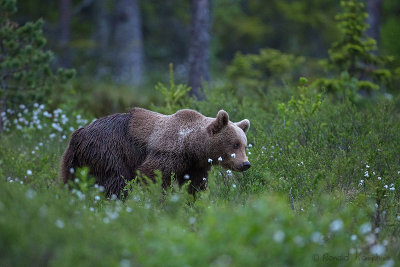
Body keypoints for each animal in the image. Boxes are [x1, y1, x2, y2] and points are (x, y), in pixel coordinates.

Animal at [60, 108, 250, 198]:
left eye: (244, 145)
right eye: (235, 144)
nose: (245, 164)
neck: (191, 146)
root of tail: (78, 133)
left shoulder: (195, 165)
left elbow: (195, 186)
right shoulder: (168, 154)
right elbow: (153, 175)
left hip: (74, 161)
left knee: (70, 181)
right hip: (108, 151)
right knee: (116, 180)